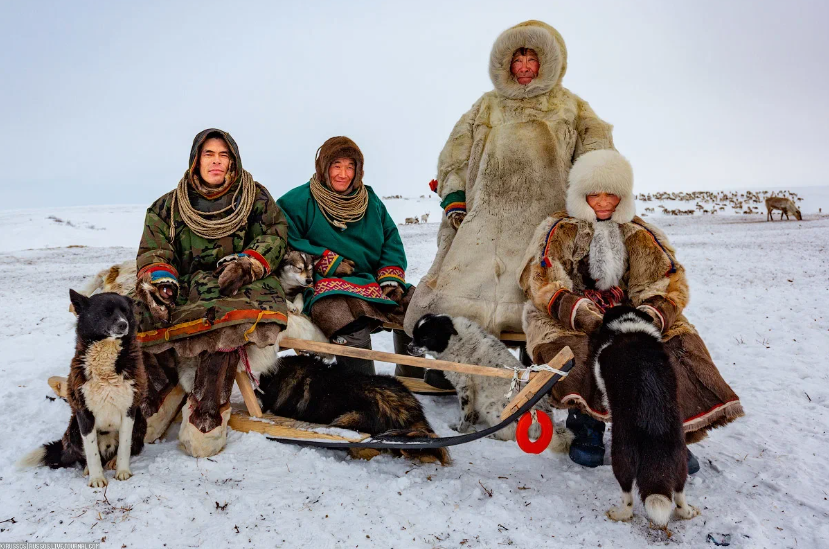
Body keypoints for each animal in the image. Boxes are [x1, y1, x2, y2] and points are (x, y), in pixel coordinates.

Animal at [18, 288, 146, 486]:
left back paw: (113, 461)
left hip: (140, 419)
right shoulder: (84, 413)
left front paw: (122, 471)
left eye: (125, 311)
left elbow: (125, 446)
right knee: (85, 455)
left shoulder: (129, 409)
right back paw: (88, 469)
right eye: (106, 312)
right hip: (74, 428)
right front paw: (97, 478)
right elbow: (91, 452)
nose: (123, 324)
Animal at [408, 312, 564, 446]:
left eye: (425, 337)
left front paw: (461, 430)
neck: (455, 340)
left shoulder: (465, 386)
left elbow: (465, 414)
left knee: (509, 435)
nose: (408, 347)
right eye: (414, 335)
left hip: (492, 407)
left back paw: (488, 436)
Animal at [588, 306, 700, 528]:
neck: (630, 327)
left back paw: (619, 513)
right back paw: (687, 512)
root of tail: (654, 429)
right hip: (680, 461)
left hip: (622, 456)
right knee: (680, 493)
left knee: (628, 496)